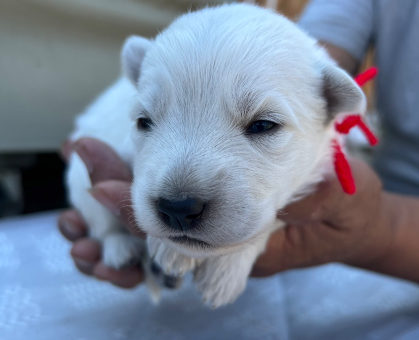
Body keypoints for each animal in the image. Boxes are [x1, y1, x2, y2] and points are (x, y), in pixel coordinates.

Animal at [67, 3, 366, 308]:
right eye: (144, 121)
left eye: (263, 125)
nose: (177, 209)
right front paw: (170, 251)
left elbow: (270, 219)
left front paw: (224, 273)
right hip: (78, 174)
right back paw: (122, 249)